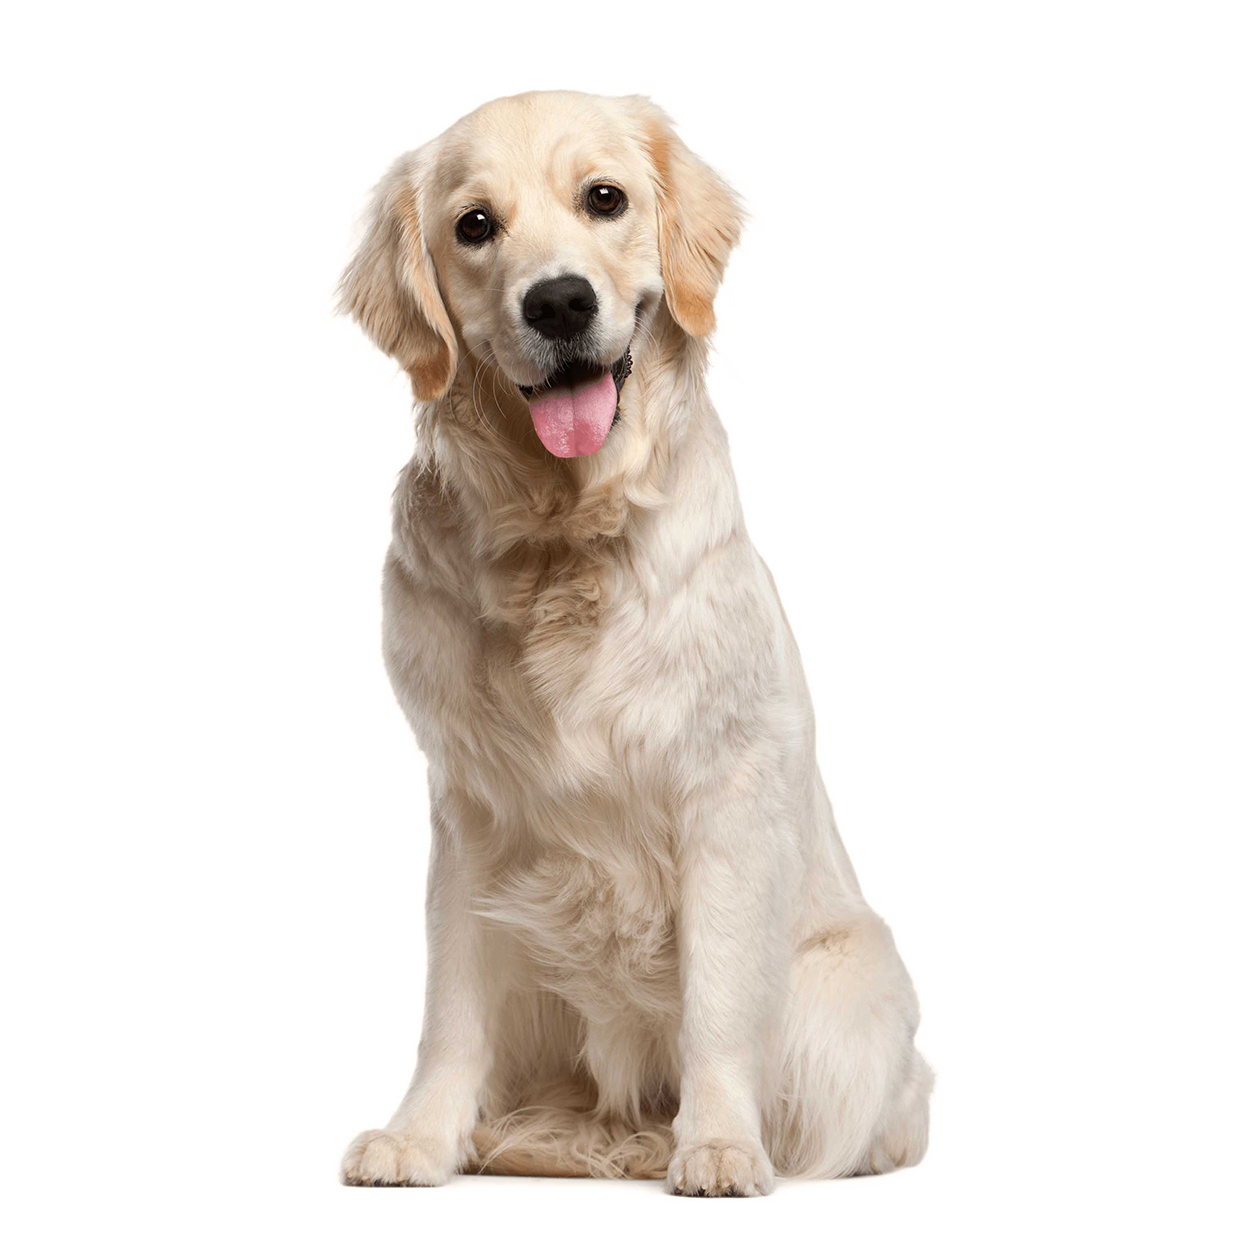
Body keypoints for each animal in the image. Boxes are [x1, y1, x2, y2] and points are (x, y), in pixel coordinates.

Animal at [335, 92, 930, 1195]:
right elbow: (451, 1007)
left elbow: (716, 1004)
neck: (562, 539)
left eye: (603, 199)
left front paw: (719, 1143)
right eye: (474, 225)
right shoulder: (469, 810)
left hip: (844, 990)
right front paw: (421, 1134)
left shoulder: (723, 797)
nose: (560, 303)